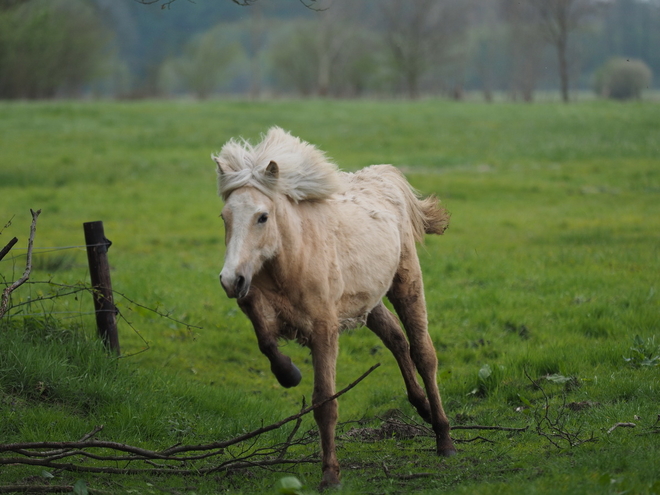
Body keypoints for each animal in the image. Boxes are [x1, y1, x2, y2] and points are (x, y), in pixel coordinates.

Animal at [214, 128, 456, 488]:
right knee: (396, 339)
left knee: (423, 352)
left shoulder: (324, 329)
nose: (231, 279)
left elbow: (324, 402)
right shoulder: (256, 302)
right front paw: (288, 374)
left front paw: (330, 474)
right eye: (225, 217)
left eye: (262, 216)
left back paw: (444, 437)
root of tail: (386, 177)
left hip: (406, 284)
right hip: (368, 301)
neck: (293, 259)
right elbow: (266, 341)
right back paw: (422, 408)